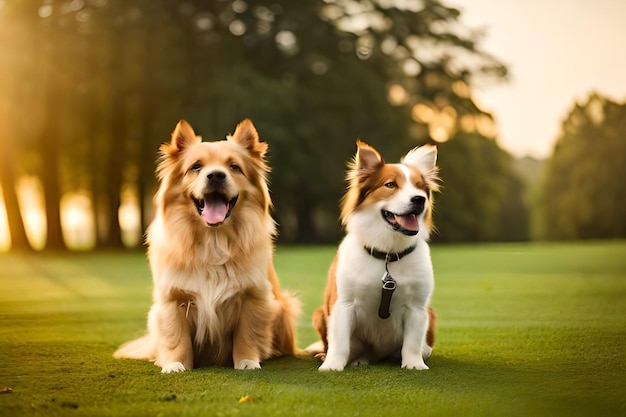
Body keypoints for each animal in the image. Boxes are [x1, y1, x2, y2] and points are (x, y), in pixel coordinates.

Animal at [114, 118, 300, 372]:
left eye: (234, 167)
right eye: (196, 167)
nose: (216, 176)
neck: (214, 240)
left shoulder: (254, 296)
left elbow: (248, 334)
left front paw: (247, 361)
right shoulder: (172, 300)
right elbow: (177, 338)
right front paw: (175, 364)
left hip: (283, 308)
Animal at [308, 141, 436, 370]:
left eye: (420, 187)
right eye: (391, 185)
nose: (419, 200)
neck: (387, 255)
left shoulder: (418, 307)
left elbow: (412, 343)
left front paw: (414, 364)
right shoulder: (344, 304)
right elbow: (340, 342)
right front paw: (332, 365)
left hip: (430, 313)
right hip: (320, 313)